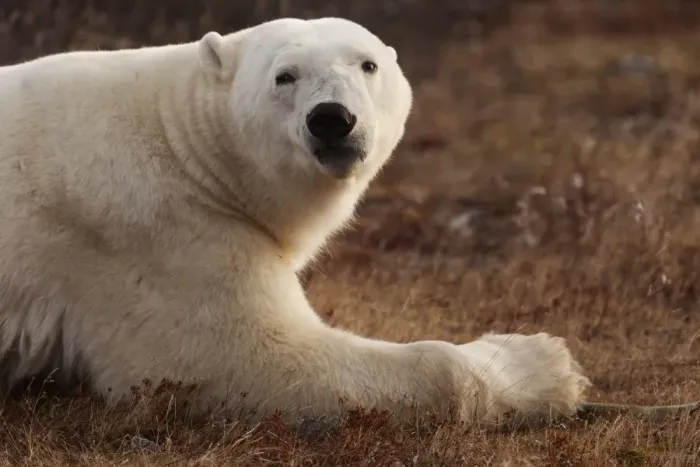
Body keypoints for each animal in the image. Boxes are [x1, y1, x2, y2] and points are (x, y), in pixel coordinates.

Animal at [0, 17, 589, 427]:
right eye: (285, 76)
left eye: (367, 64)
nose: (332, 118)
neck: (185, 145)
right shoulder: (152, 232)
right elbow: (244, 359)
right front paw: (546, 362)